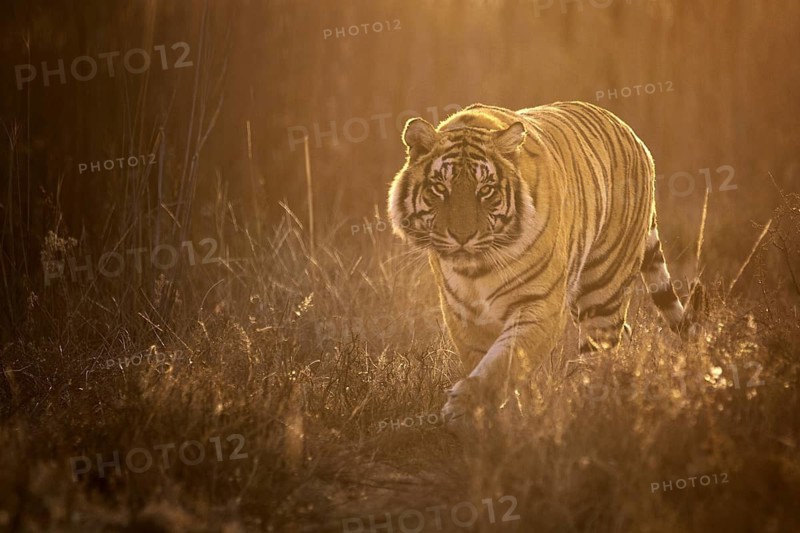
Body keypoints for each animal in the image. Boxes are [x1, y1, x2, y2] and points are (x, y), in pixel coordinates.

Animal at [387, 101, 699, 429]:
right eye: (439, 188)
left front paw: (465, 406)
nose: (462, 236)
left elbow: (505, 360)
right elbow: (483, 359)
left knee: (601, 347)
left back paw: (592, 405)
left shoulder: (540, 304)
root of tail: (633, 135)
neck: (476, 270)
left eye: (485, 190)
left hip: (602, 289)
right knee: (622, 333)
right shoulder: (462, 313)